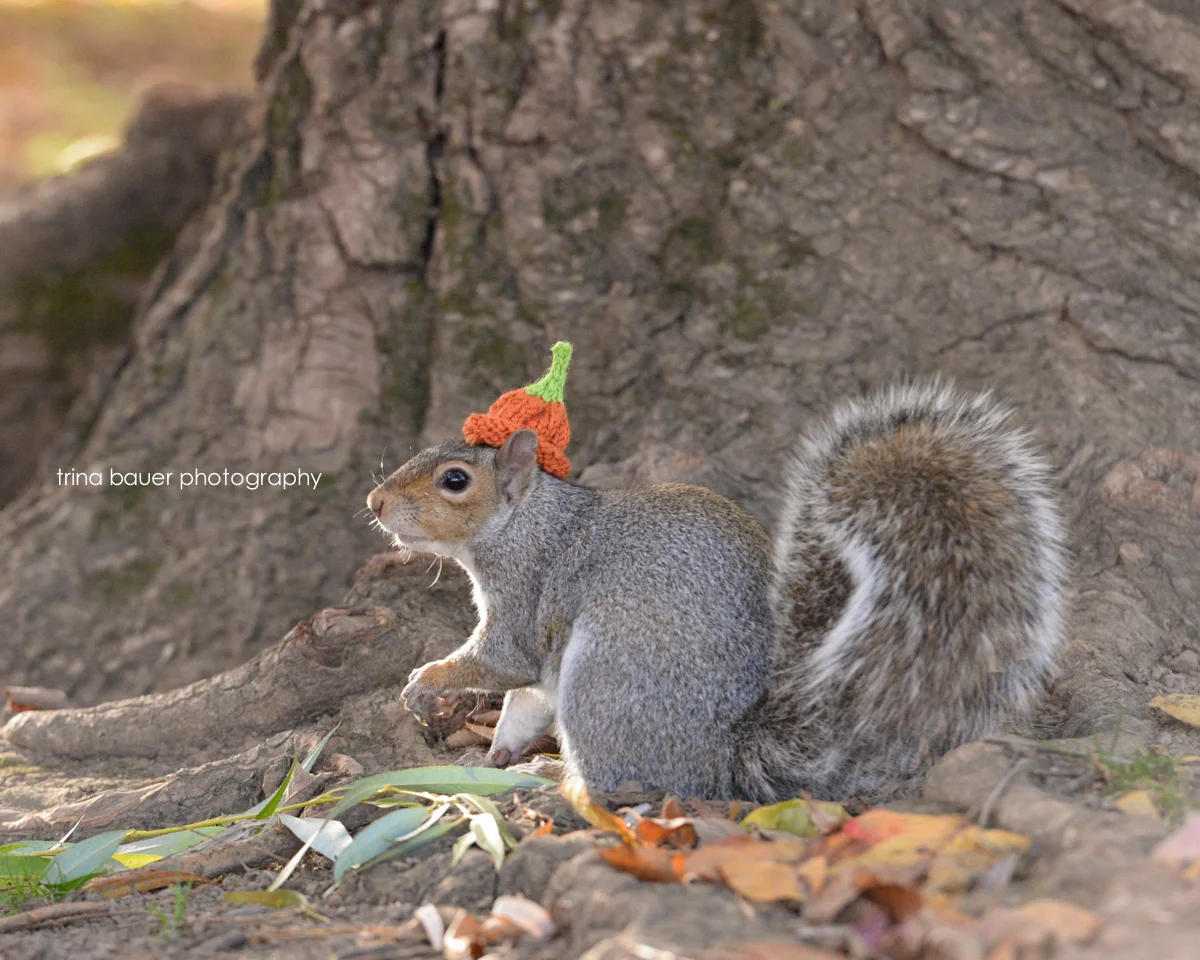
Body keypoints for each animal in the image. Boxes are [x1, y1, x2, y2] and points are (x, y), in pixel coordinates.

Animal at [366, 343, 1068, 802]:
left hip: (608, 677)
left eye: (455, 480)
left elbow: (501, 660)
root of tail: (722, 759)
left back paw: (550, 782)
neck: (523, 520)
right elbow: (526, 700)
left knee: (617, 788)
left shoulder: (526, 591)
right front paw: (496, 749)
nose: (374, 503)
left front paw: (427, 682)